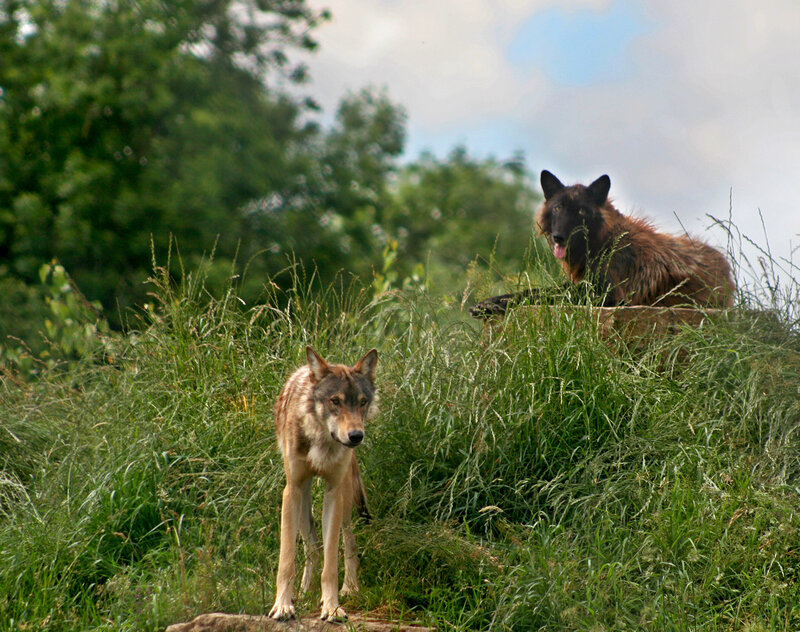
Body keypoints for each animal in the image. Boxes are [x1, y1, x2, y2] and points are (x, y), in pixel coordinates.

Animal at [268, 346, 378, 622]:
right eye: (335, 401)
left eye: (362, 402)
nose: (356, 436)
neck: (321, 440)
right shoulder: (292, 491)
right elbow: (287, 560)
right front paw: (283, 605)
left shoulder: (333, 492)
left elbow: (331, 563)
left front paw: (332, 607)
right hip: (302, 501)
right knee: (312, 546)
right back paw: (303, 592)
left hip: (346, 498)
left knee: (349, 541)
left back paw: (350, 587)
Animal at [471, 170, 735, 316]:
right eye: (557, 208)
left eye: (580, 211)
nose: (559, 237)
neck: (604, 243)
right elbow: (533, 291)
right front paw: (490, 302)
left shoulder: (605, 295)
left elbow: (541, 294)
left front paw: (495, 304)